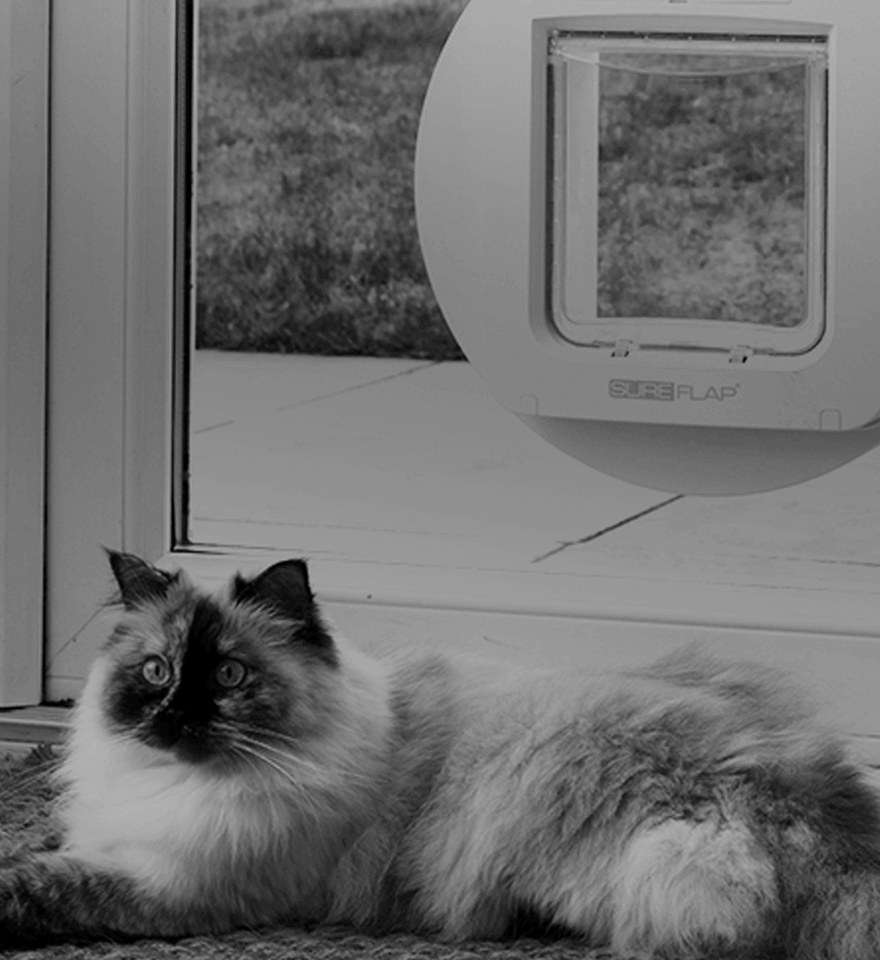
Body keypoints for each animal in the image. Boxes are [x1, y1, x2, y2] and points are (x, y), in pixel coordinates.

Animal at [1, 552, 880, 956]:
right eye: (156, 671)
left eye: (227, 676)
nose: (173, 717)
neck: (172, 783)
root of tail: (808, 794)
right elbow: (37, 847)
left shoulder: (175, 885)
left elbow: (35, 886)